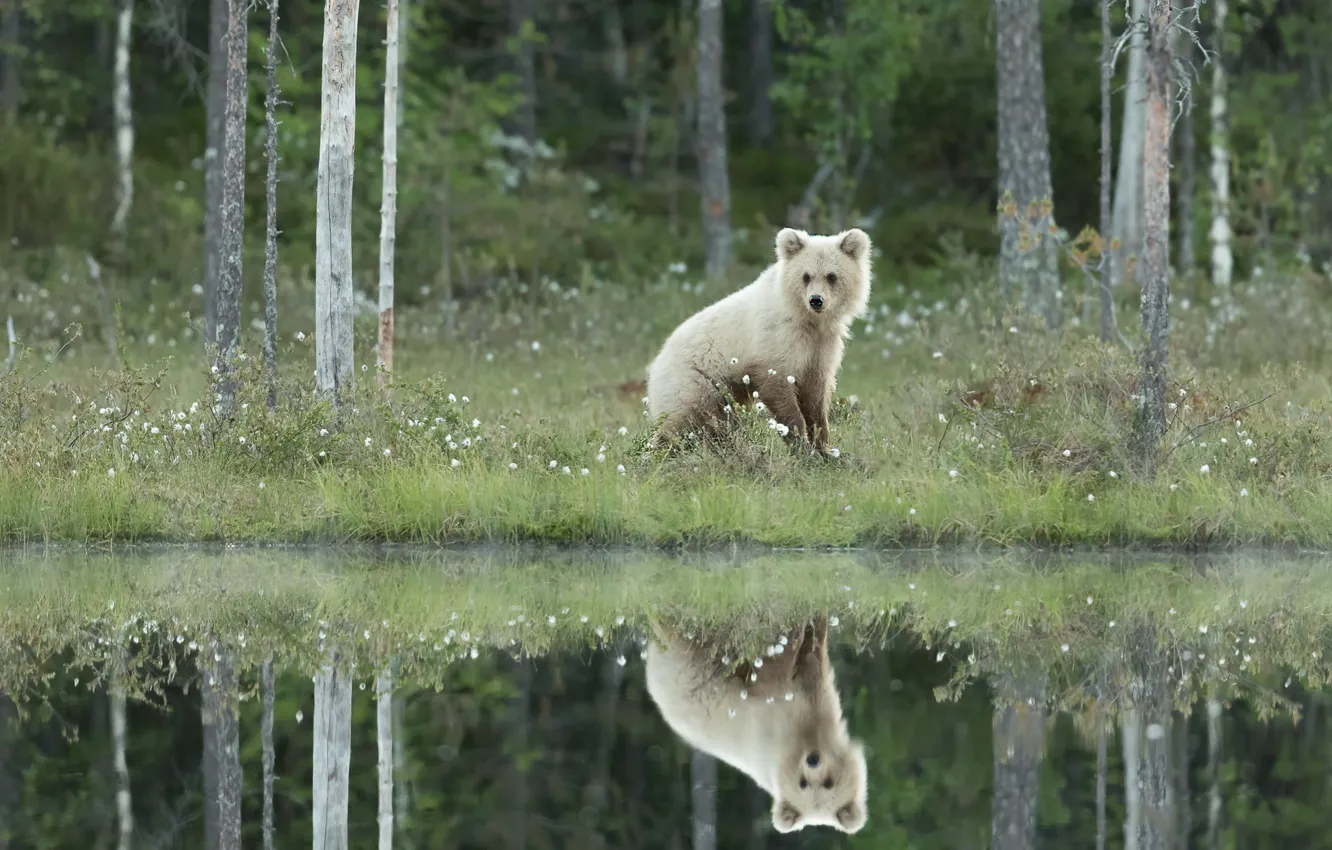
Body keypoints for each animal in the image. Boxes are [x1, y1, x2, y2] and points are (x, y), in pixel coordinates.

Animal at [645, 227, 872, 454]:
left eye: (831, 276)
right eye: (806, 276)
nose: (816, 300)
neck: (807, 321)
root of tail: (655, 362)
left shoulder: (821, 346)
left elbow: (816, 398)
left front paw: (824, 447)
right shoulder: (775, 341)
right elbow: (780, 391)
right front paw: (801, 445)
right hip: (693, 383)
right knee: (680, 422)